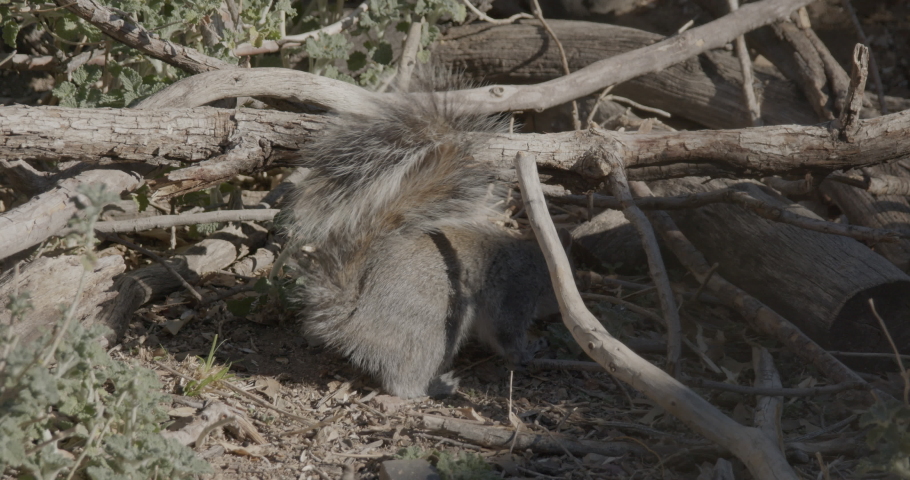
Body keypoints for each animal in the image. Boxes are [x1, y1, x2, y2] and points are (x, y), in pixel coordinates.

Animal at [282, 82, 556, 399]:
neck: (534, 259)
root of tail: (351, 319)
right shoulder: (516, 291)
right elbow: (507, 336)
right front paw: (531, 350)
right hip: (434, 327)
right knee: (403, 382)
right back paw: (437, 384)